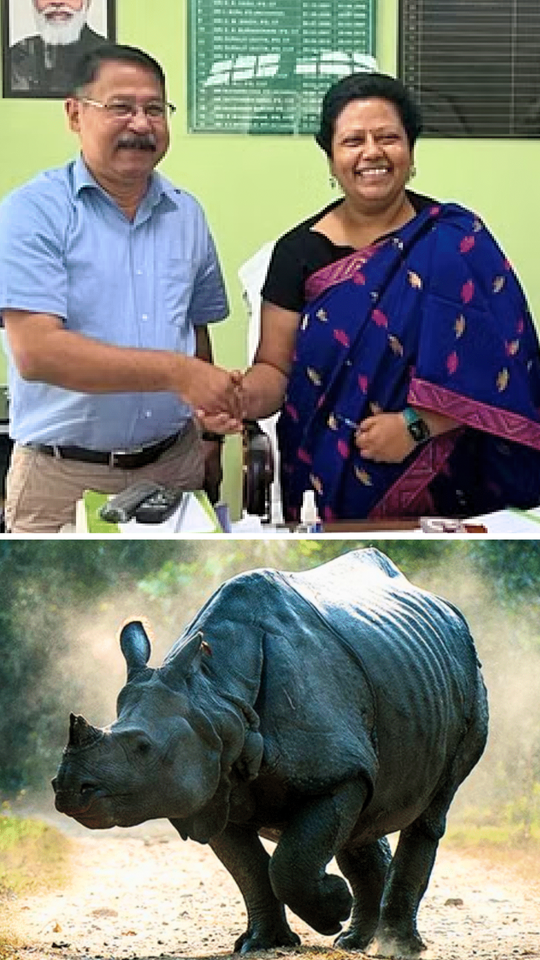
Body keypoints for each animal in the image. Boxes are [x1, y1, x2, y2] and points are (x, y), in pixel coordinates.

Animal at [53, 548, 488, 958]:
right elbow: (250, 870)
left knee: (431, 807)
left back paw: (398, 945)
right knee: (364, 813)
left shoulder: (335, 772)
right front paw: (263, 942)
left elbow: (288, 865)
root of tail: (447, 609)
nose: (68, 789)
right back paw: (354, 941)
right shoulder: (215, 781)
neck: (217, 695)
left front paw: (334, 904)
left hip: (467, 673)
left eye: (143, 748)